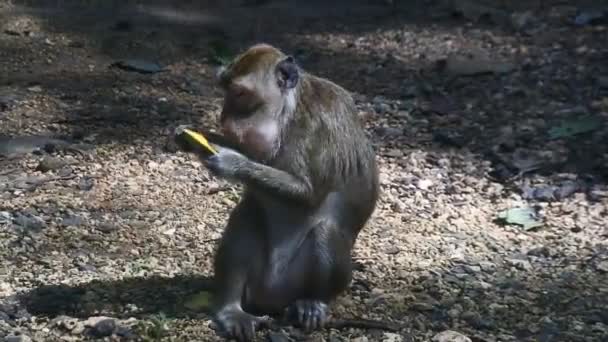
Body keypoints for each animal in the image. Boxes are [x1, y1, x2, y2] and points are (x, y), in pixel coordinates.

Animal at [176, 44, 378, 340]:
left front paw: (231, 162)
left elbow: (309, 194)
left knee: (325, 231)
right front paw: (193, 136)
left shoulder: (316, 127)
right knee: (247, 215)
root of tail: (270, 299)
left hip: (296, 283)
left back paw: (312, 302)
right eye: (224, 90)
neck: (287, 114)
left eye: (240, 93)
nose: (224, 118)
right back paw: (231, 309)